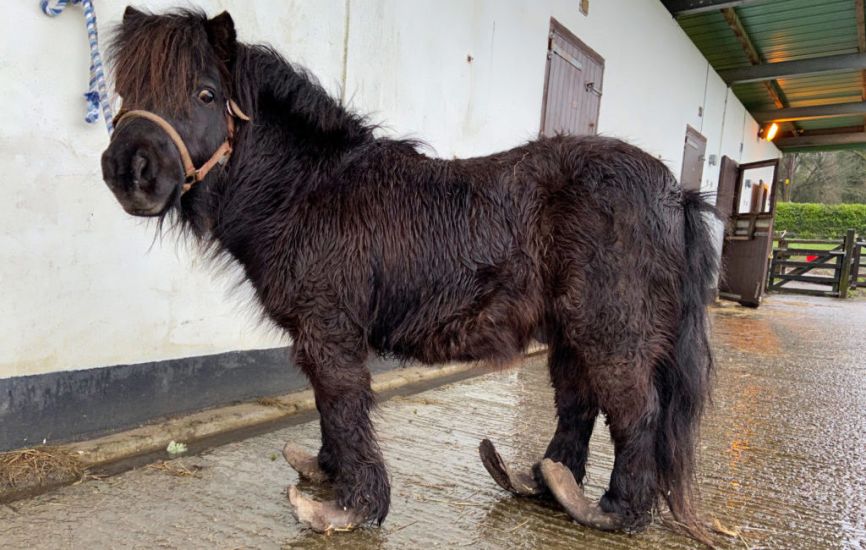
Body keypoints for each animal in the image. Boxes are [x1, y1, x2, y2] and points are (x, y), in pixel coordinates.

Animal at [101, 7, 720, 544]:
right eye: (125, 92)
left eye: (205, 94)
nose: (128, 171)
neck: (307, 189)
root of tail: (677, 193)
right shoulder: (318, 336)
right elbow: (327, 406)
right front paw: (328, 473)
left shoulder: (330, 331)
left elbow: (344, 406)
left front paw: (350, 508)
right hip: (571, 332)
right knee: (578, 403)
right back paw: (546, 481)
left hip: (611, 331)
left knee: (636, 410)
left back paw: (615, 512)